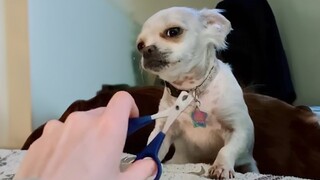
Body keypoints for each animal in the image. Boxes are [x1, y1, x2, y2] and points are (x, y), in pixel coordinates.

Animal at [136, 6, 258, 179]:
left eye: (173, 31)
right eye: (140, 45)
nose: (146, 50)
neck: (191, 90)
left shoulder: (240, 129)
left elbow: (226, 149)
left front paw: (221, 167)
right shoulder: (163, 129)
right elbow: (154, 147)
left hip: (250, 164)